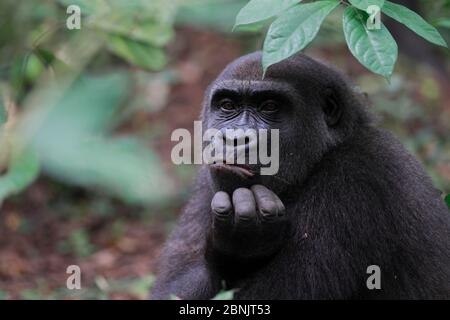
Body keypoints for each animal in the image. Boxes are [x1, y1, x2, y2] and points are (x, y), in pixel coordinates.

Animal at [152, 51, 450, 298]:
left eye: (269, 106)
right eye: (227, 106)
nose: (235, 139)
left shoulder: (355, 178)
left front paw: (237, 248)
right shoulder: (207, 181)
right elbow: (170, 290)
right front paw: (233, 252)